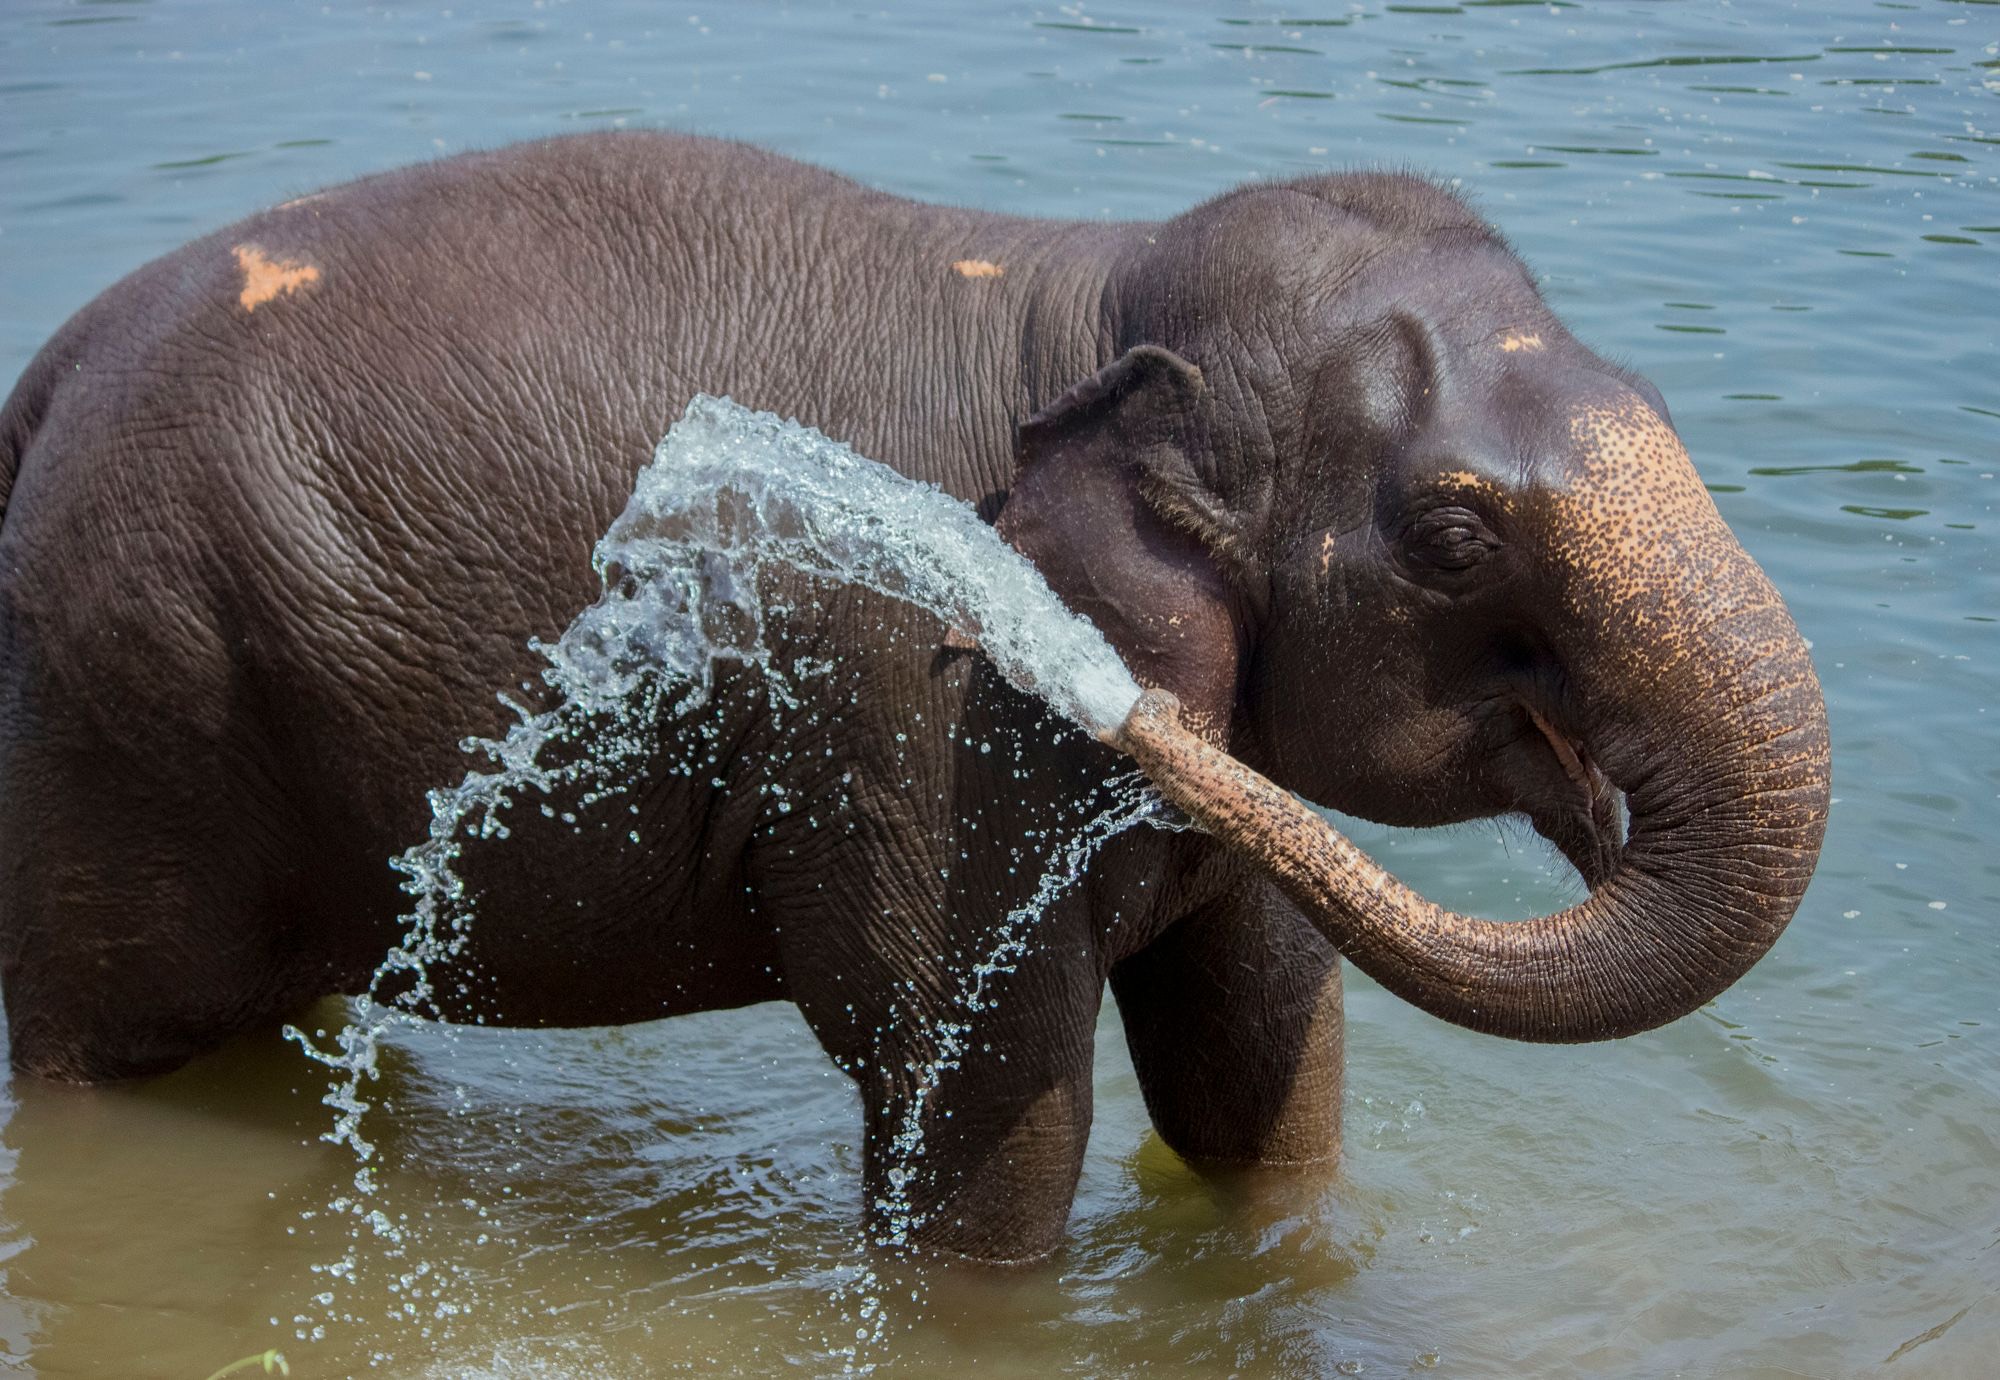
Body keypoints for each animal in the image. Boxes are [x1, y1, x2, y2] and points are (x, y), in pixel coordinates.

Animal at [0, 132, 1830, 1264]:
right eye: (1455, 539)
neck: (1090, 286)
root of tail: (38, 389)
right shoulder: (909, 722)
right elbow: (985, 1120)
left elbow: (1261, 1063)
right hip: (128, 717)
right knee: (92, 1050)